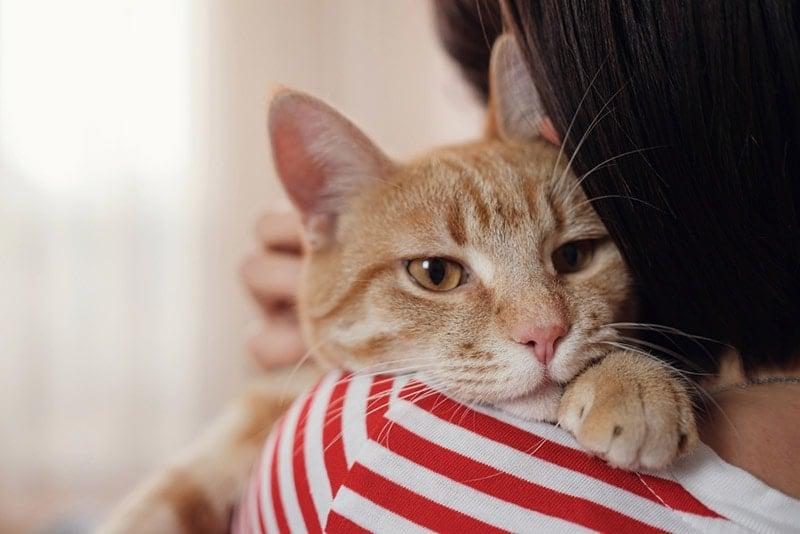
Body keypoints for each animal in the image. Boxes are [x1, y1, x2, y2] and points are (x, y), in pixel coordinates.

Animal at [103, 35, 696, 532]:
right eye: (436, 273)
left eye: (573, 256)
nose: (545, 333)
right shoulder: (263, 402)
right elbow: (170, 493)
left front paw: (633, 380)